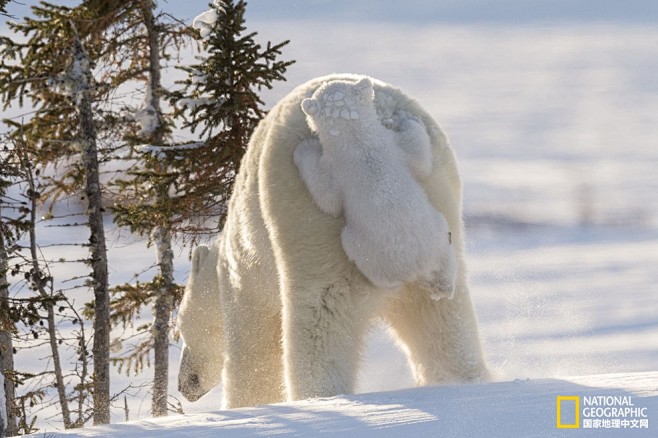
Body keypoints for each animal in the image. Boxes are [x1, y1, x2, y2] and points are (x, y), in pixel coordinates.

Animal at [294, 77, 456, 300]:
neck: (358, 141)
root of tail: (417, 267)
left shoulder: (371, 152)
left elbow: (328, 200)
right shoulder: (380, 151)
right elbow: (418, 158)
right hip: (423, 241)